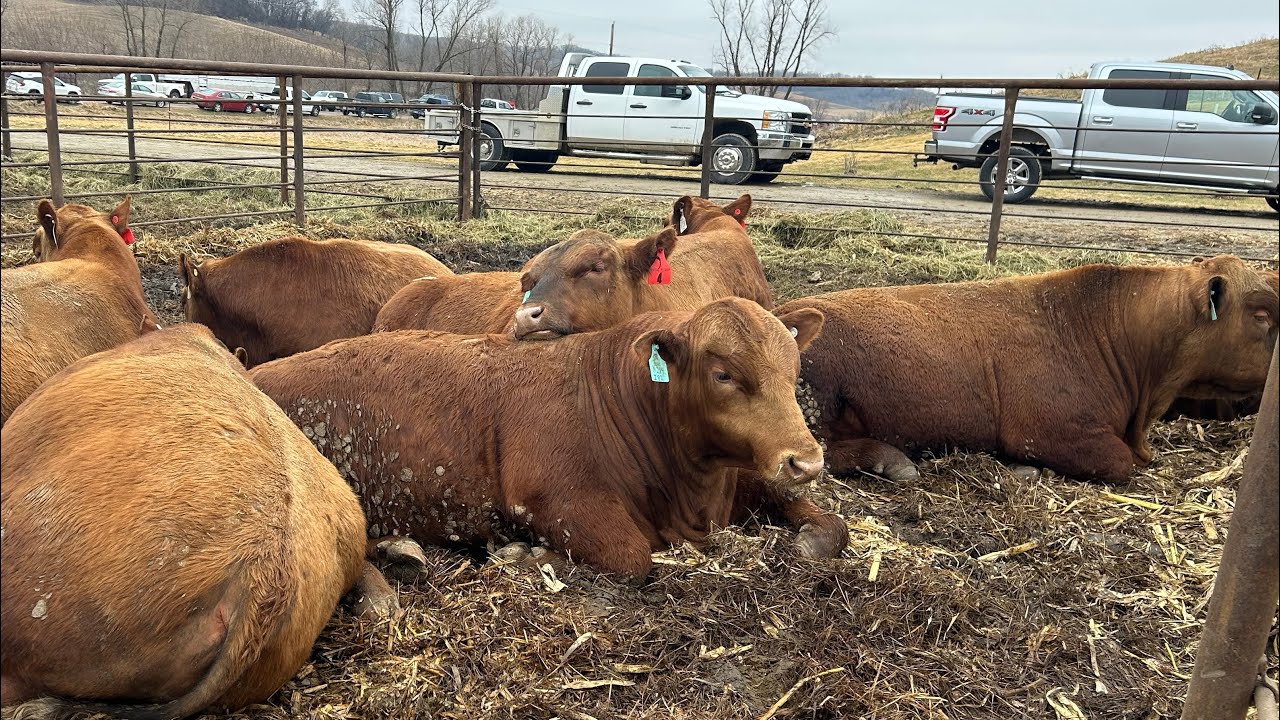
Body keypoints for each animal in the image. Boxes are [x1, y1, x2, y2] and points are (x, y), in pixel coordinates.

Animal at [253, 298, 847, 580]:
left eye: (793, 367)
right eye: (723, 374)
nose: (806, 460)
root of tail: (256, 372)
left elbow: (829, 522)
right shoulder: (558, 499)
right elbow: (632, 557)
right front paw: (521, 555)